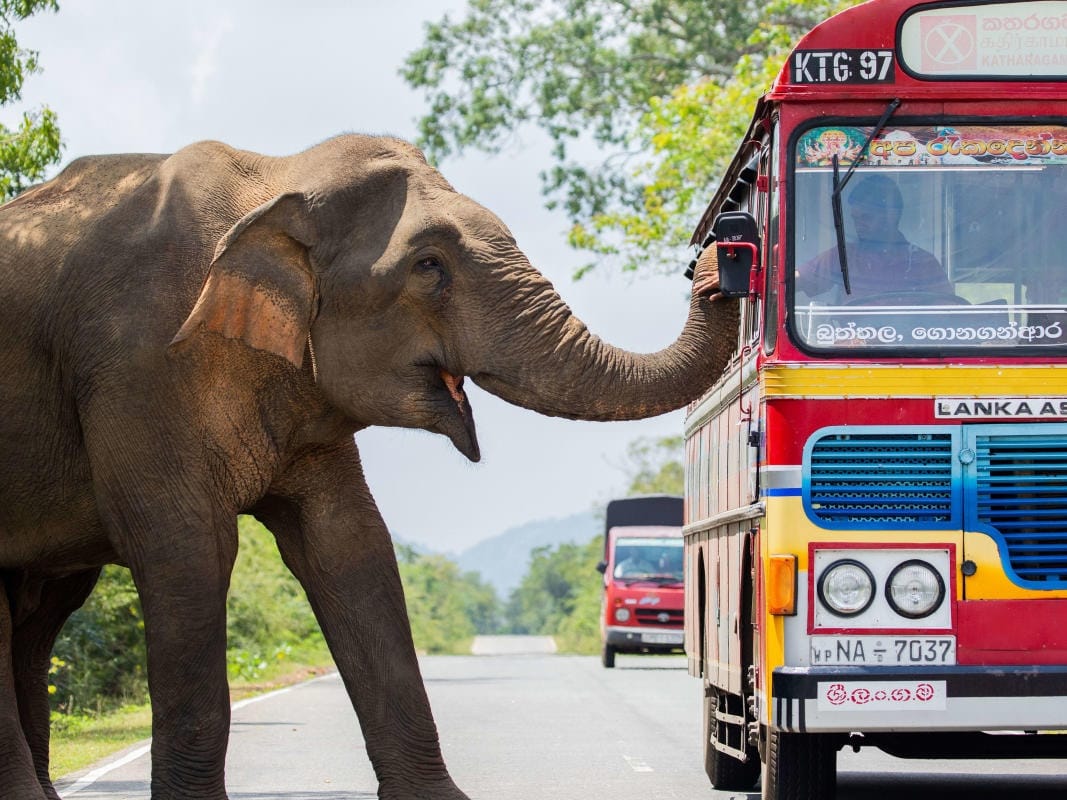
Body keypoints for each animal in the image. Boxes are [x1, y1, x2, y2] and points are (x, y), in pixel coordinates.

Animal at [0, 134, 738, 800]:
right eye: (428, 265)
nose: (718, 252)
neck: (274, 178)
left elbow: (350, 546)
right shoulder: (136, 369)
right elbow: (189, 549)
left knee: (41, 614)